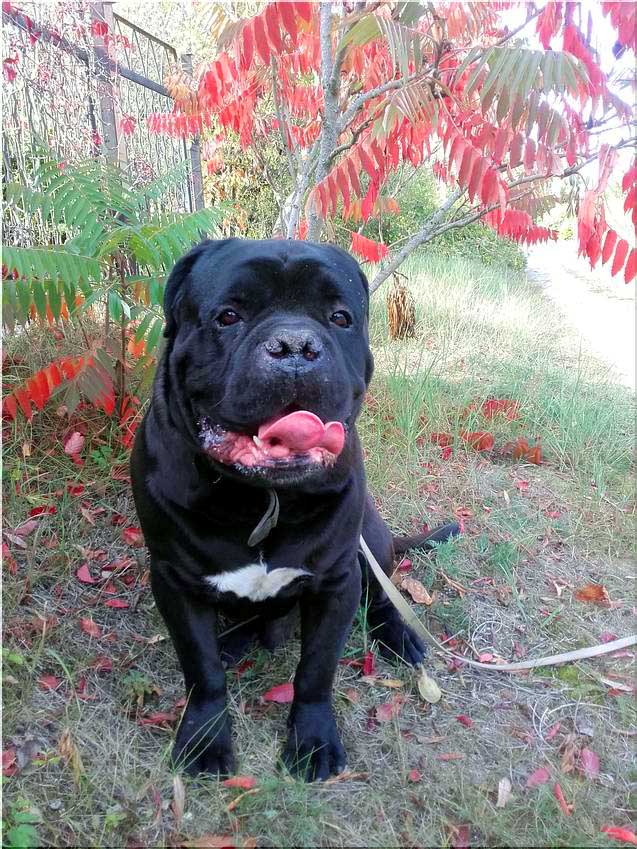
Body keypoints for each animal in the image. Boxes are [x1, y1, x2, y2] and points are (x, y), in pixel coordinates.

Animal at [131, 238, 457, 781]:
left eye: (340, 317)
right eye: (228, 315)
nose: (295, 346)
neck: (264, 497)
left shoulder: (337, 580)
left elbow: (316, 670)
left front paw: (313, 740)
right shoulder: (174, 579)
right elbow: (201, 670)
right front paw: (204, 740)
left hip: (371, 539)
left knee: (382, 597)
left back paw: (398, 636)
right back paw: (235, 640)